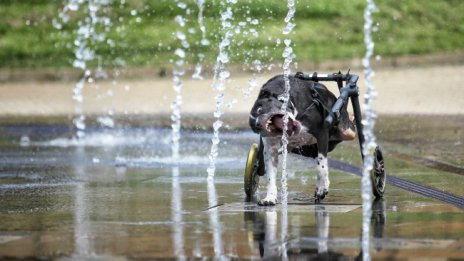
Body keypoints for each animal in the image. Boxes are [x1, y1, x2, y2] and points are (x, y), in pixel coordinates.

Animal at [250, 74, 356, 204]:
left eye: (260, 111)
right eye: (253, 125)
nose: (257, 125)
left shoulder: (321, 134)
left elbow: (321, 166)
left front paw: (322, 188)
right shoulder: (270, 149)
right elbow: (270, 174)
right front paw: (269, 197)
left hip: (346, 131)